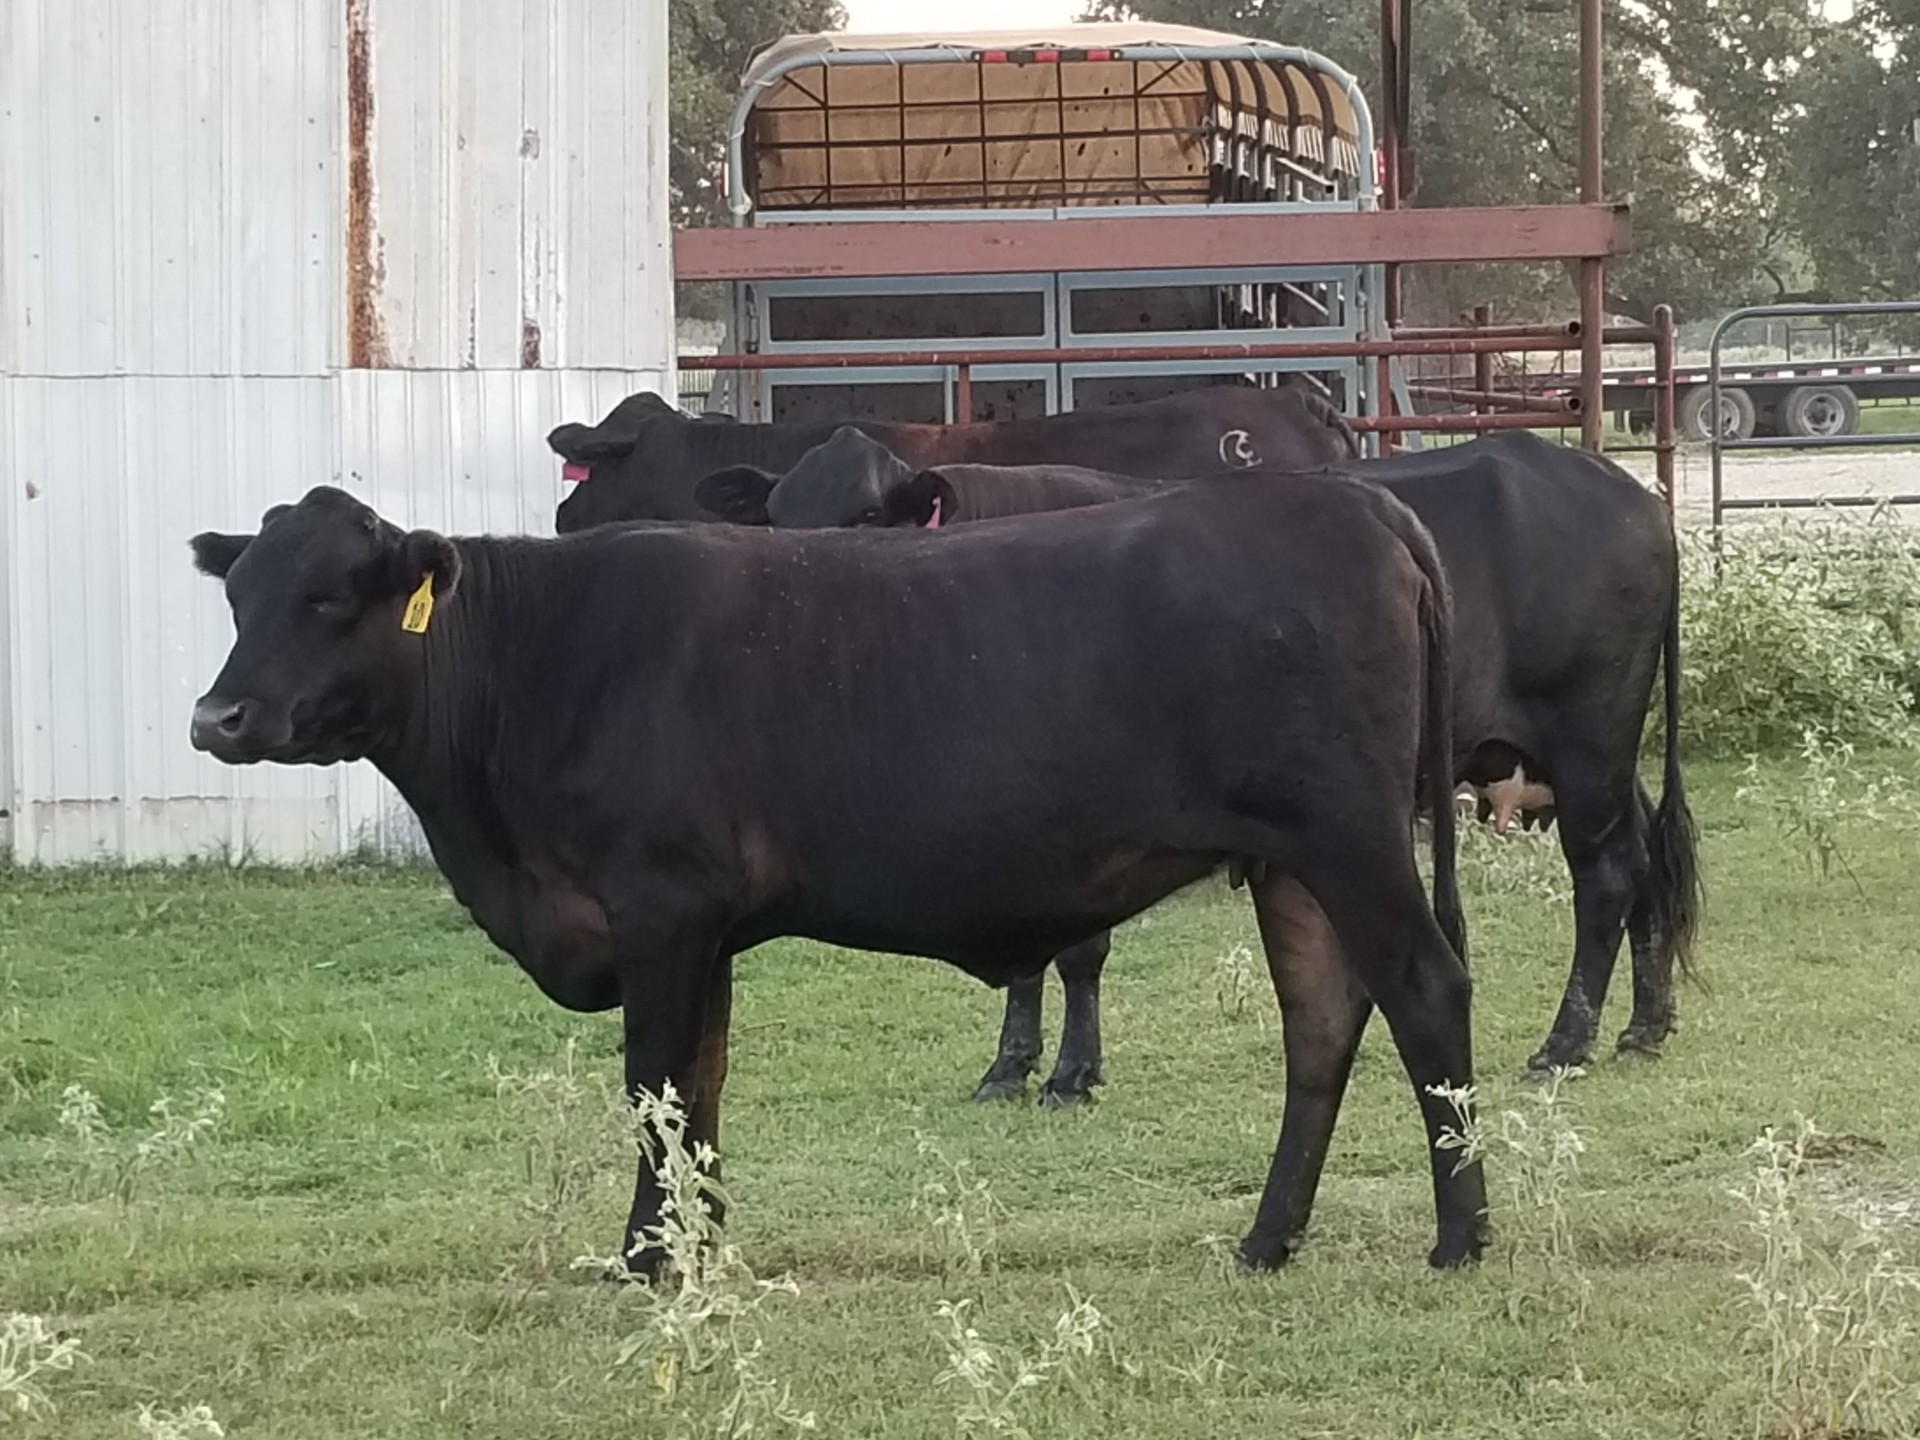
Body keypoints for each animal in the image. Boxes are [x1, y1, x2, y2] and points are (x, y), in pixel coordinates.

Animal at [187, 475, 1487, 1274]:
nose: (217, 716)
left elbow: (654, 1091)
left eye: (327, 595)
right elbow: (702, 1090)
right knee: (1322, 1020)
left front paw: (647, 1259)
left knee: (1423, 990)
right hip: (1291, 863)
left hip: (1350, 840)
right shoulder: (702, 929)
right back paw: (1268, 1240)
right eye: (239, 594)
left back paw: (1462, 1237)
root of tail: (1354, 498)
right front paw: (702, 1249)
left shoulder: (658, 906)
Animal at [688, 429, 1702, 1104]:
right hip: (1597, 750)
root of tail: (1623, 487)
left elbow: (1077, 949)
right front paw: (1011, 1064)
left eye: (865, 515)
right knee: (1646, 861)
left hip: (1585, 739)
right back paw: (1645, 1026)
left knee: (1605, 876)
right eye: (776, 517)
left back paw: (1566, 1041)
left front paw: (1070, 1071)